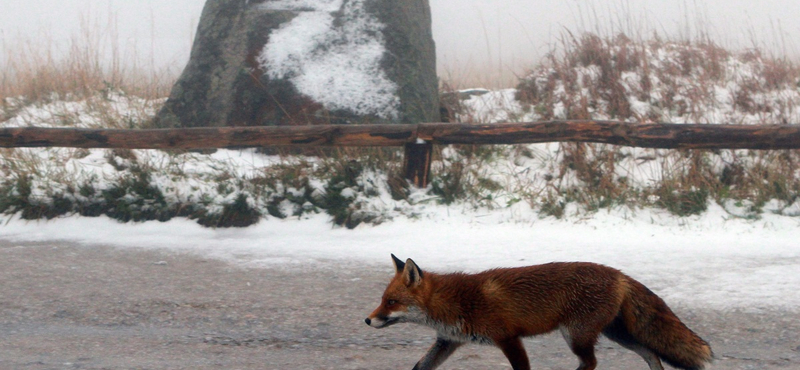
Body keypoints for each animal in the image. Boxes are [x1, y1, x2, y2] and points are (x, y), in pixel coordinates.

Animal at [366, 254, 708, 370]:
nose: (367, 320)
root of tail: (618, 273)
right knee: (651, 353)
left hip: (576, 335)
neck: (454, 301)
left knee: (591, 362)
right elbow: (419, 367)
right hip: (615, 333)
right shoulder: (448, 341)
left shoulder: (508, 338)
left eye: (391, 302)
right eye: (383, 300)